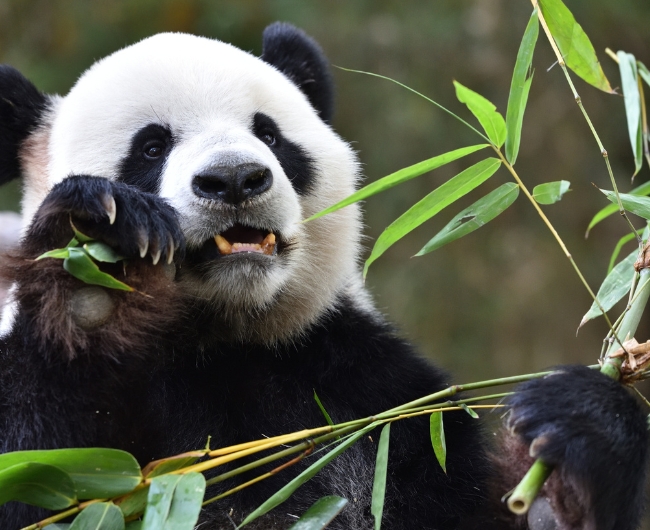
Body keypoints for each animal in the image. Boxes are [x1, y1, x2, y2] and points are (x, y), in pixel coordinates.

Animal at [0, 23, 647, 530]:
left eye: (268, 133)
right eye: (152, 146)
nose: (234, 179)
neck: (223, 336)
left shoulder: (368, 392)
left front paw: (571, 463)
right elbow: (47, 477)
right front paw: (94, 278)